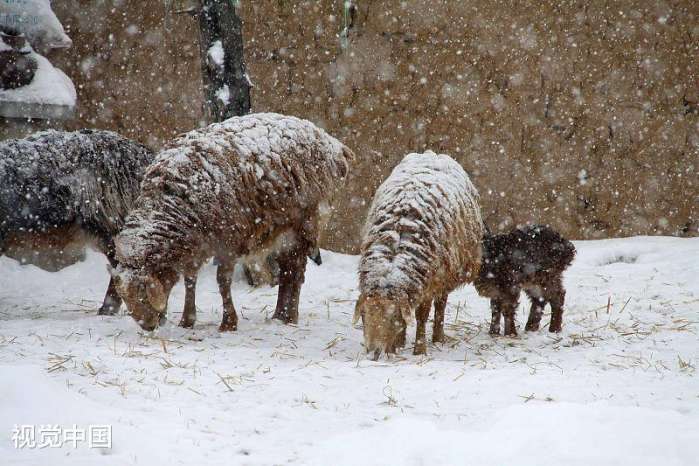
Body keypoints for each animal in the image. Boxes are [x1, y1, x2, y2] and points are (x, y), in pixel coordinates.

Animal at [115, 112, 356, 332]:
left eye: (142, 295)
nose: (147, 326)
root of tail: (334, 145)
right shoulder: (196, 244)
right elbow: (190, 280)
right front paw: (187, 320)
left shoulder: (227, 240)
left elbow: (223, 281)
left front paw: (228, 323)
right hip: (281, 232)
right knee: (286, 270)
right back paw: (278, 315)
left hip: (305, 223)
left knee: (295, 270)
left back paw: (289, 317)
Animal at [352, 151, 484, 358]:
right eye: (364, 315)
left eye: (393, 316)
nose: (374, 353)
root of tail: (432, 154)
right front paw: (397, 344)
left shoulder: (431, 279)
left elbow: (422, 315)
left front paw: (420, 349)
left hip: (447, 272)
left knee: (441, 304)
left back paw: (438, 337)